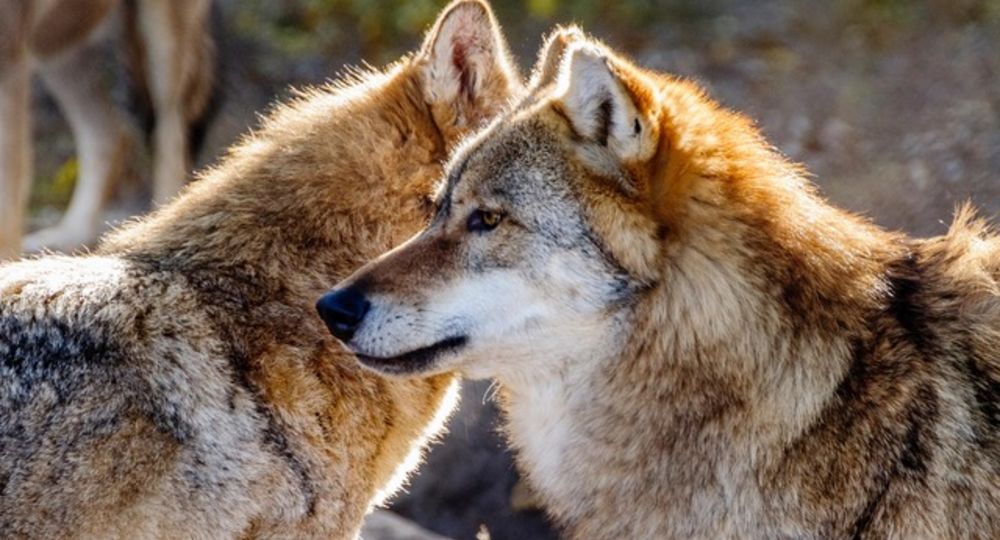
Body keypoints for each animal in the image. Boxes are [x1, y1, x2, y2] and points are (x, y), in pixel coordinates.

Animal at [0, 0, 216, 258]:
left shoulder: (9, 61)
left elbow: (6, 210)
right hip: (56, 46)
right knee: (111, 133)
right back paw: (70, 238)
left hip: (162, 45)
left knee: (171, 139)